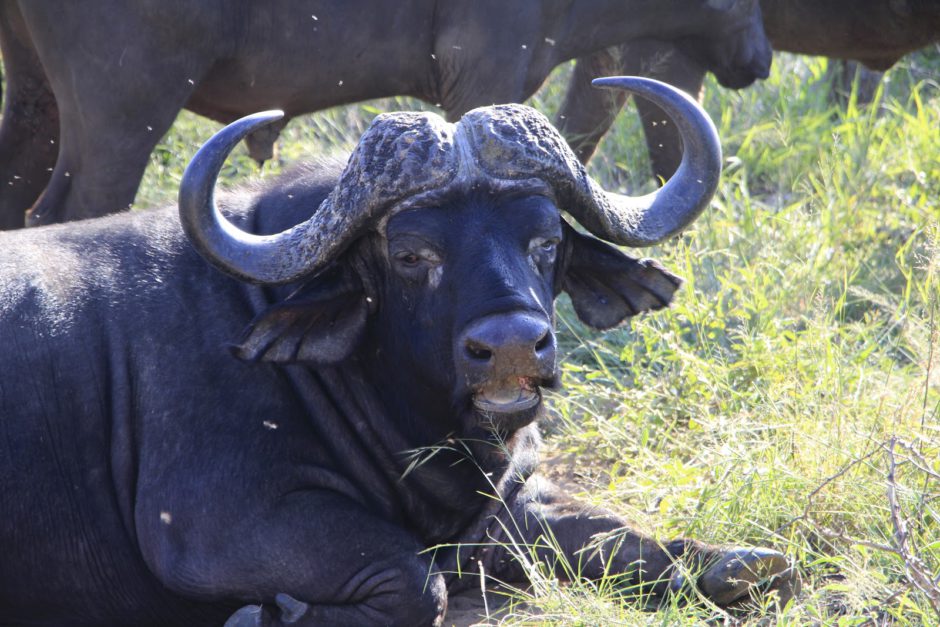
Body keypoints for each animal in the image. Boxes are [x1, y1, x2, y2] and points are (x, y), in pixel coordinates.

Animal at [0, 79, 796, 627]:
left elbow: (619, 536)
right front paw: (266, 613)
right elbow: (417, 582)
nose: (513, 348)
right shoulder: (214, 529)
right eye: (413, 254)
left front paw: (735, 565)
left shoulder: (507, 507)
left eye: (546, 240)